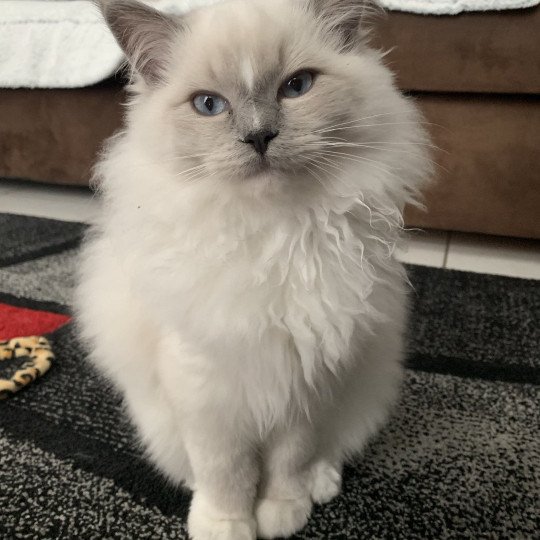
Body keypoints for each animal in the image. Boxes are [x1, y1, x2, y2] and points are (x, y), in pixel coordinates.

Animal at [77, 1, 430, 540]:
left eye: (297, 87)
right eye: (209, 105)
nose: (259, 136)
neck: (273, 237)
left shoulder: (307, 382)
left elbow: (288, 461)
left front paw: (282, 513)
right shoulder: (208, 391)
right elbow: (227, 472)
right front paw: (227, 525)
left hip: (360, 387)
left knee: (329, 451)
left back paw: (319, 485)